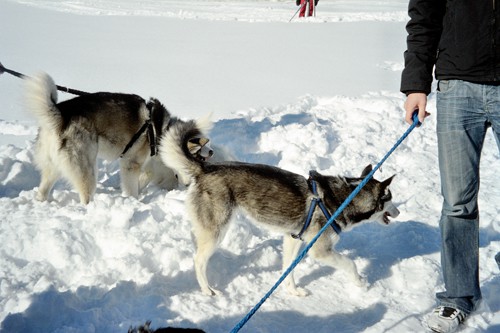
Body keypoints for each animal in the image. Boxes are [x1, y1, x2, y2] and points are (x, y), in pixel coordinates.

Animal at [24, 71, 212, 204]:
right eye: (198, 157)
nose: (210, 152)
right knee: (86, 197)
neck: (160, 130)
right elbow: (132, 188)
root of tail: (60, 115)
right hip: (87, 169)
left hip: (53, 167)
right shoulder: (131, 163)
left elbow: (145, 177)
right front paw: (133, 202)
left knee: (43, 191)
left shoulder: (147, 164)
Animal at [161, 120, 402, 296]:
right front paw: (361, 283)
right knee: (198, 261)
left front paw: (293, 291)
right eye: (390, 198)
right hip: (216, 231)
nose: (399, 212)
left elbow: (288, 268)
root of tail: (204, 168)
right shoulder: (320, 250)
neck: (345, 197)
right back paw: (207, 290)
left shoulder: (292, 238)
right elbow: (350, 263)